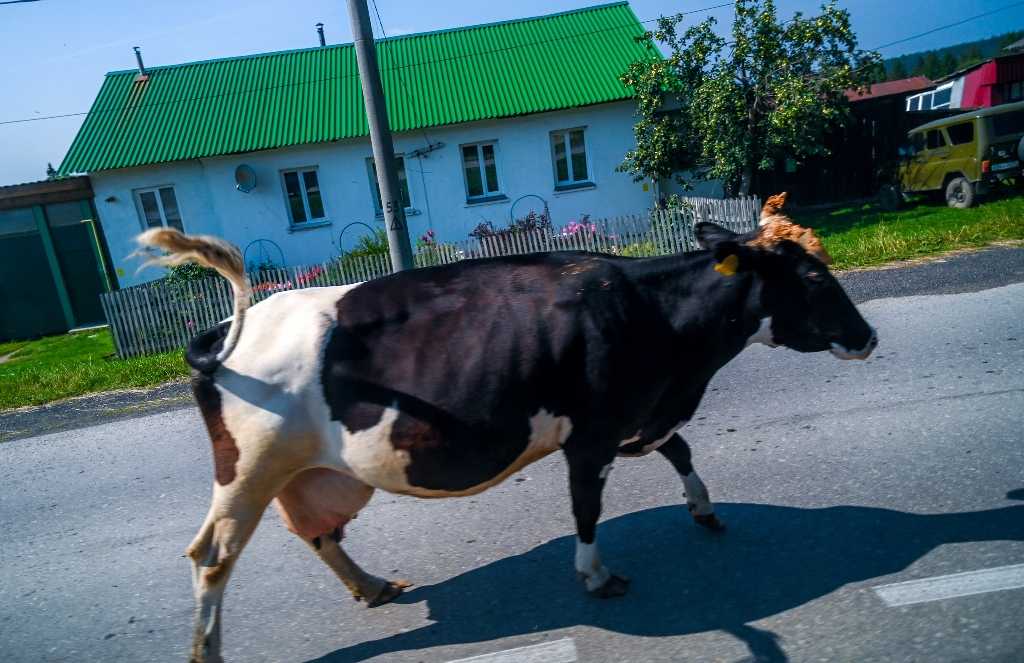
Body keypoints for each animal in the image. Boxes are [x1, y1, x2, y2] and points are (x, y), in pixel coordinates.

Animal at [132, 215, 876, 659]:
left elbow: (681, 450)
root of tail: (228, 329)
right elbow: (586, 506)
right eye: (814, 276)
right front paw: (595, 575)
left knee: (318, 530)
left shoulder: (637, 413)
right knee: (211, 557)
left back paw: (371, 586)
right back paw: (208, 649)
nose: (868, 336)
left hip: (315, 472)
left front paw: (705, 509)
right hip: (249, 466)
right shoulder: (594, 431)